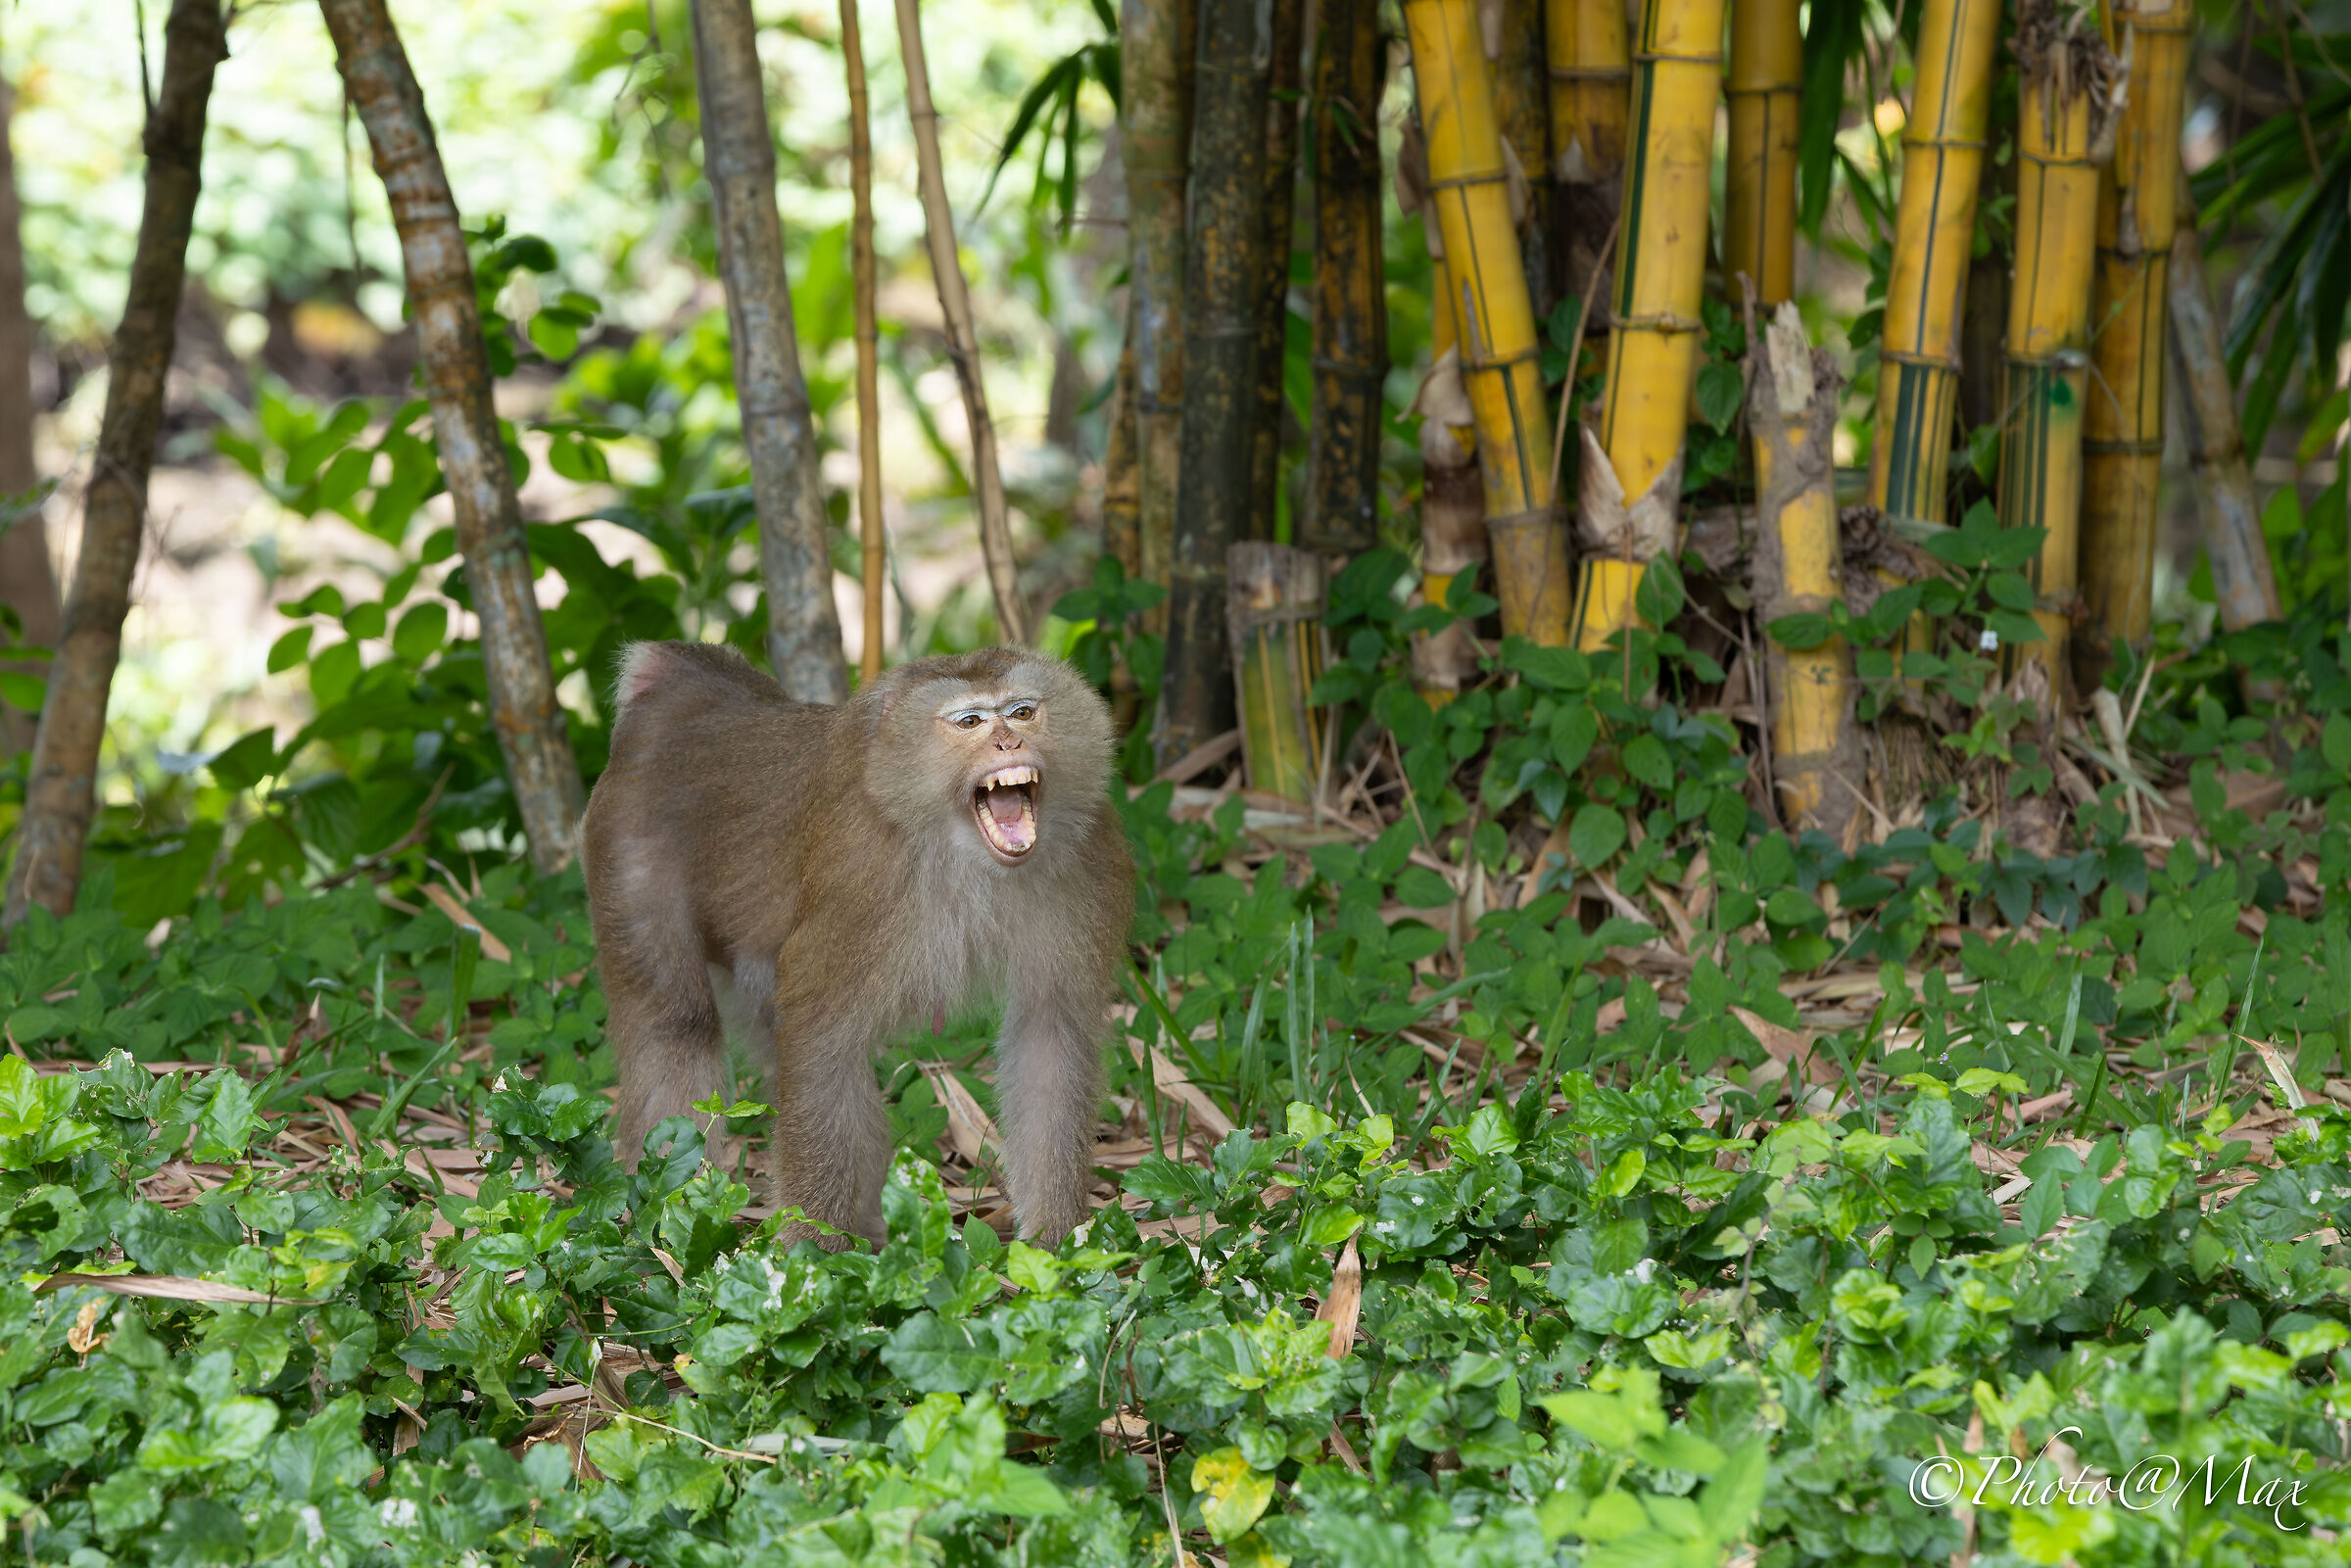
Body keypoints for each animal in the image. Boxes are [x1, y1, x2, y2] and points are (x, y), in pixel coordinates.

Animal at [579, 641, 1134, 1249]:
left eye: (1023, 712)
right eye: (970, 722)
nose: (1009, 743)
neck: (957, 849)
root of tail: (685, 702)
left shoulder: (1088, 859)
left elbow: (1050, 1033)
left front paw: (1058, 1241)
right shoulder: (864, 875)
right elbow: (822, 1036)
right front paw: (815, 1257)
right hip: (627, 843)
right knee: (677, 1020)